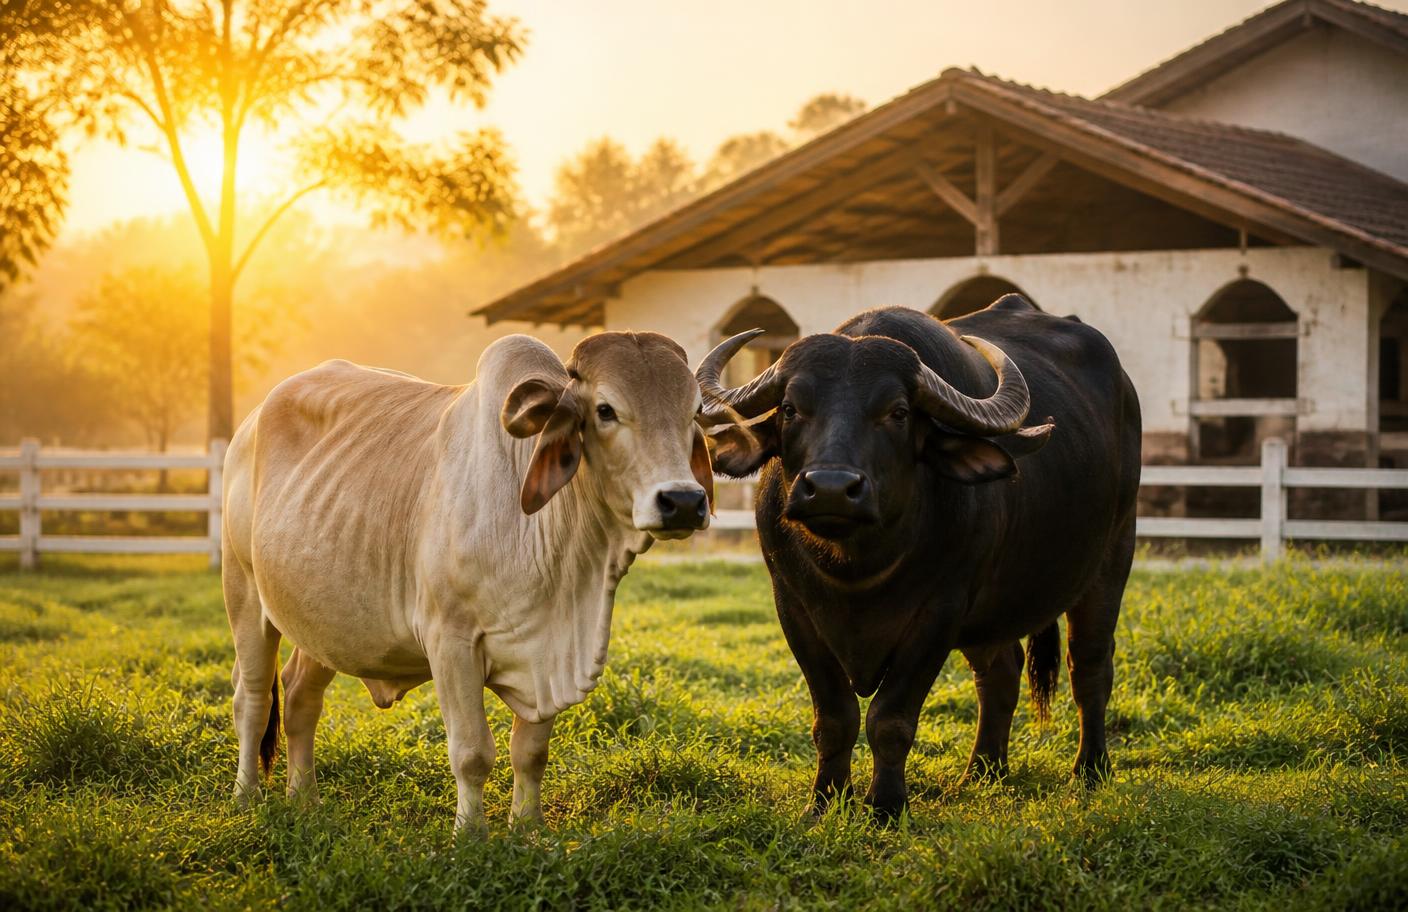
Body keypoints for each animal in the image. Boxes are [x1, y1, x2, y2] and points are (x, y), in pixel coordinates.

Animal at [222, 332, 714, 829]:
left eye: (694, 411)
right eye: (605, 410)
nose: (683, 501)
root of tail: (250, 423)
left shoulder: (547, 650)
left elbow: (530, 753)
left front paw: (528, 828)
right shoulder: (450, 642)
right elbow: (472, 753)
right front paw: (471, 833)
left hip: (323, 622)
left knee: (300, 696)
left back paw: (305, 799)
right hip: (244, 592)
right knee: (252, 698)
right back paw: (246, 796)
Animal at [697, 296, 1140, 821]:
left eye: (899, 412)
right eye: (790, 408)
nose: (830, 488)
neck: (856, 566)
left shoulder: (939, 613)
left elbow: (890, 718)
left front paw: (886, 806)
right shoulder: (793, 608)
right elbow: (834, 717)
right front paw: (825, 801)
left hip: (1113, 555)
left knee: (1089, 665)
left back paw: (1090, 771)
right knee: (1000, 673)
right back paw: (983, 772)